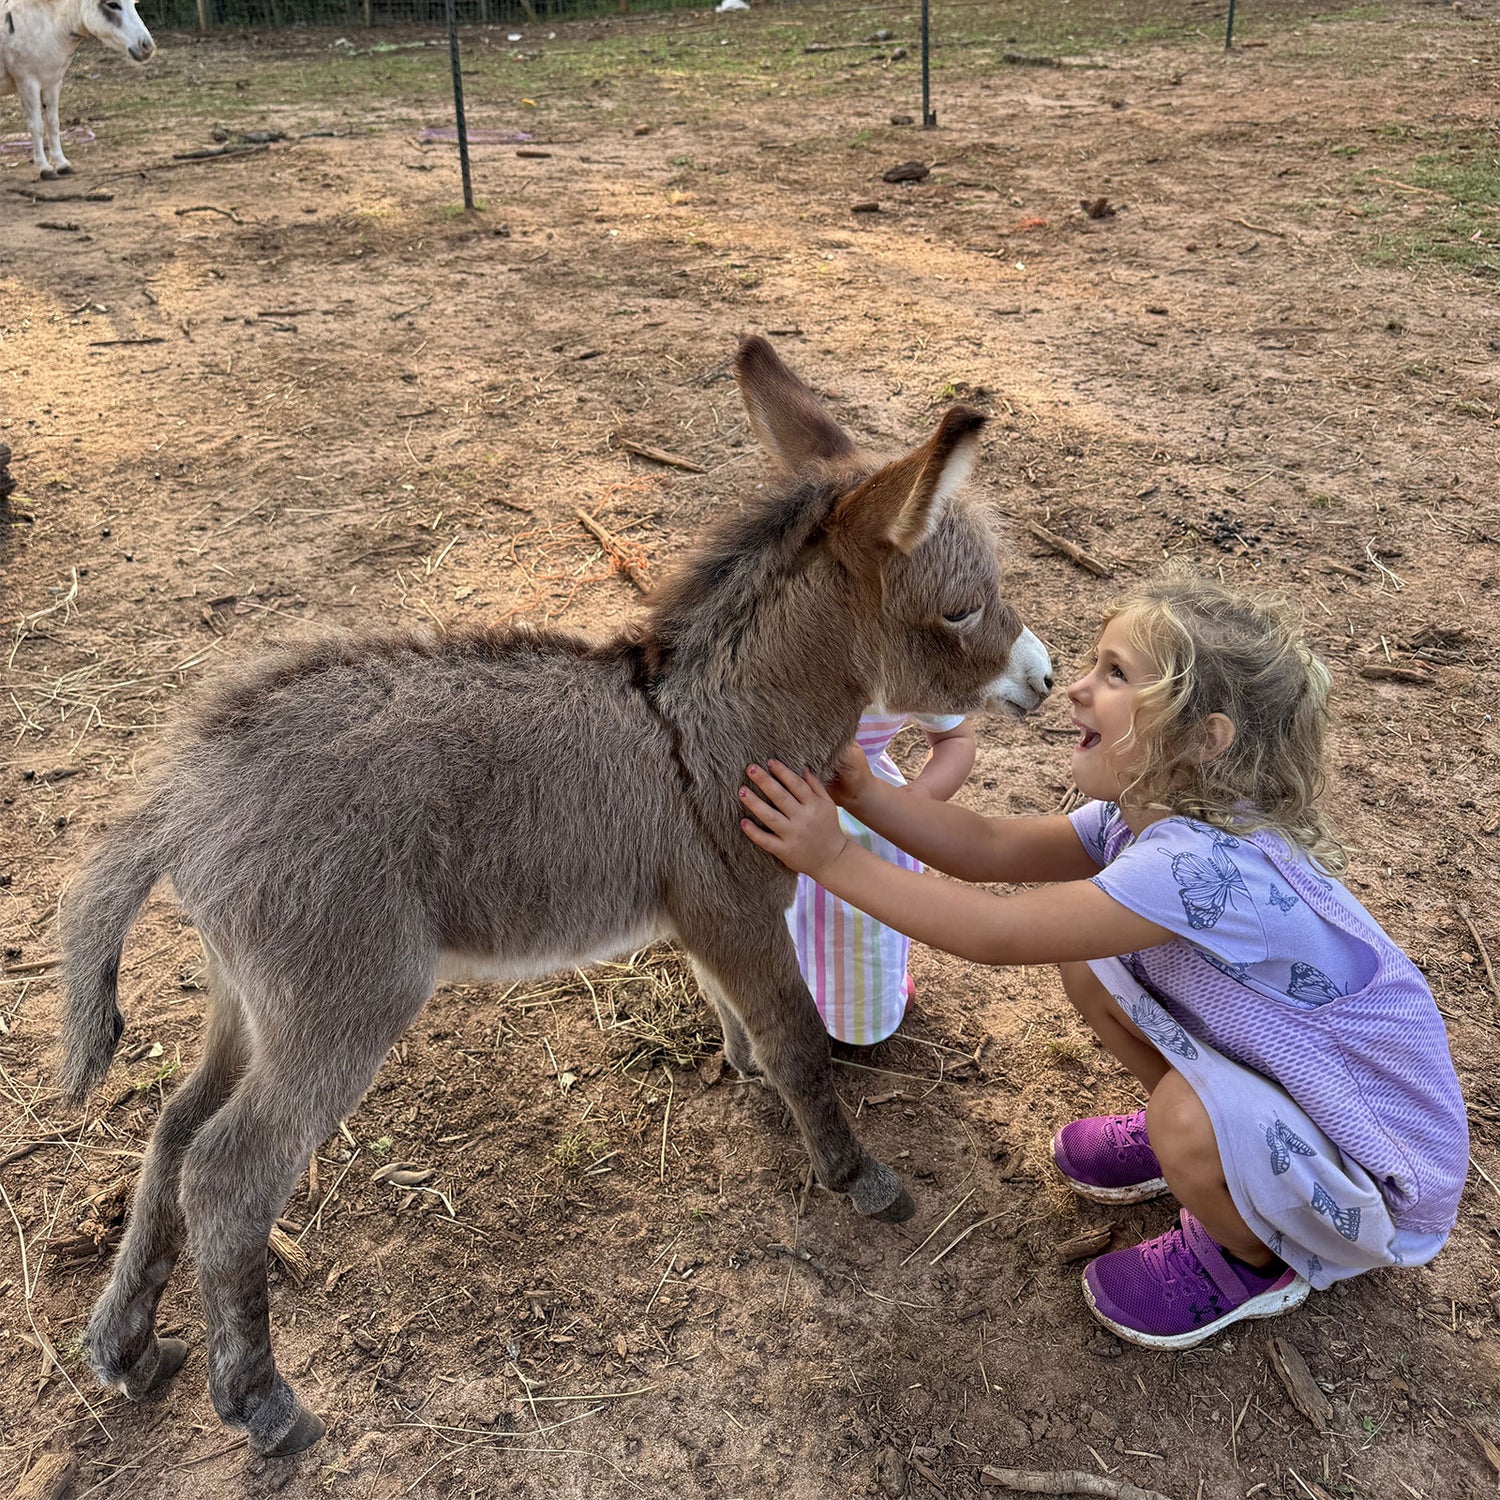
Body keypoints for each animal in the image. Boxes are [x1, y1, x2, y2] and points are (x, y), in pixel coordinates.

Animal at [1, 0, 154, 179]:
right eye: (112, 4)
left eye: (135, 4)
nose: (147, 47)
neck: (46, 24)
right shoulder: (28, 82)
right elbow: (36, 126)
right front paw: (44, 168)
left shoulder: (52, 82)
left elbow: (53, 123)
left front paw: (61, 164)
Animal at [57, 336, 1054, 1457]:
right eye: (961, 609)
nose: (1047, 677)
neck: (712, 721)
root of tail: (185, 793)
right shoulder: (742, 906)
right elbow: (800, 1038)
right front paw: (855, 1175)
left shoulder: (703, 917)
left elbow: (744, 1019)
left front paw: (746, 1073)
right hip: (341, 1003)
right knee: (226, 1176)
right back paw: (262, 1403)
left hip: (249, 996)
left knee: (174, 1131)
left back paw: (129, 1347)